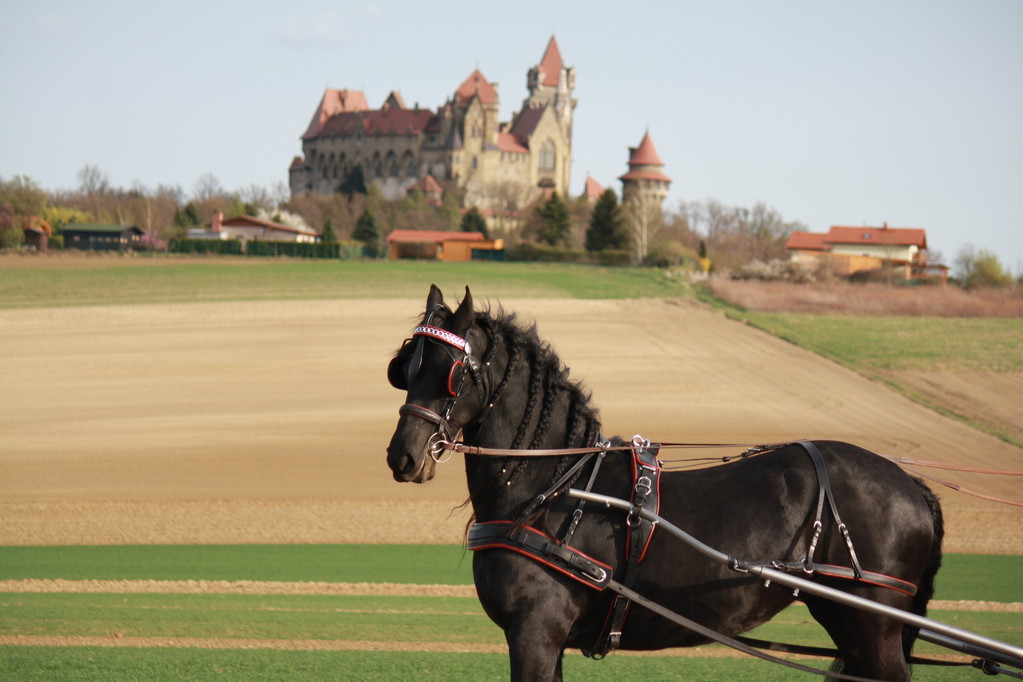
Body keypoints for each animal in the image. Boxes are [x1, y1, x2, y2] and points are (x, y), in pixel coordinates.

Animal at [384, 286, 941, 682]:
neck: (553, 488)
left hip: (873, 626)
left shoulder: (534, 633)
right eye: (405, 368)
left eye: (451, 371)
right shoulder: (546, 640)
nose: (402, 457)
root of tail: (911, 483)